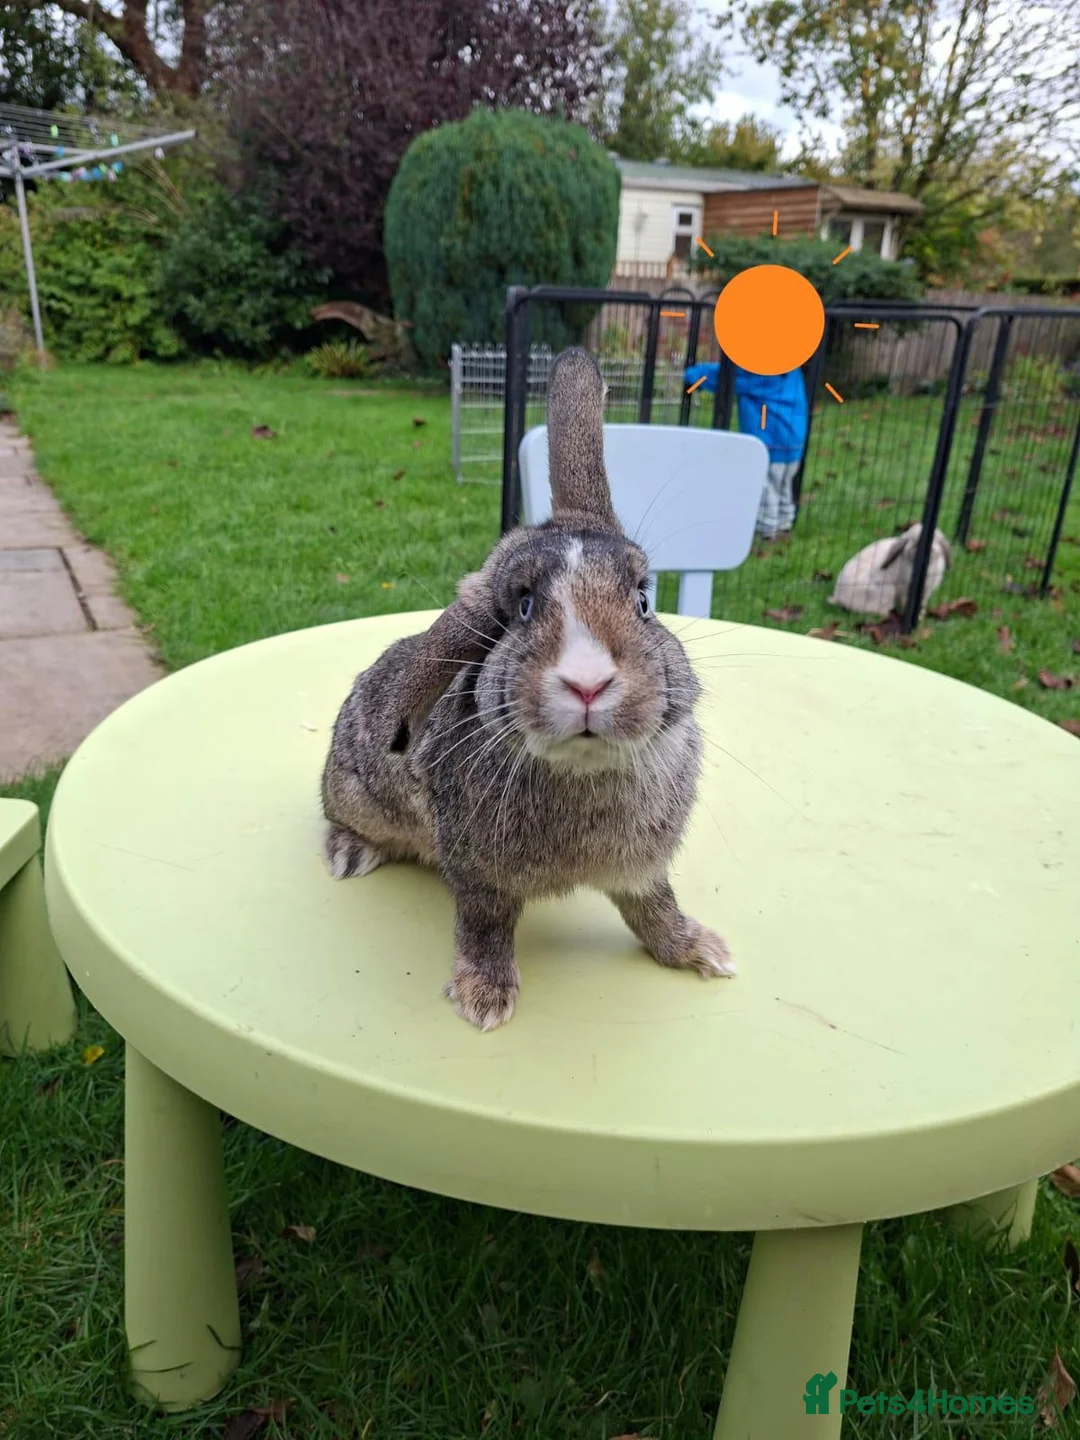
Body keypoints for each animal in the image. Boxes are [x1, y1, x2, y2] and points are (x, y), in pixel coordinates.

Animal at [321, 347, 734, 1031]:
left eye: (643, 601)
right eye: (521, 607)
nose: (589, 682)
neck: (584, 773)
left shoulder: (642, 872)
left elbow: (655, 910)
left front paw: (700, 951)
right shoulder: (479, 878)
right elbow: (484, 927)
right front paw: (484, 998)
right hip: (352, 793)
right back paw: (348, 853)